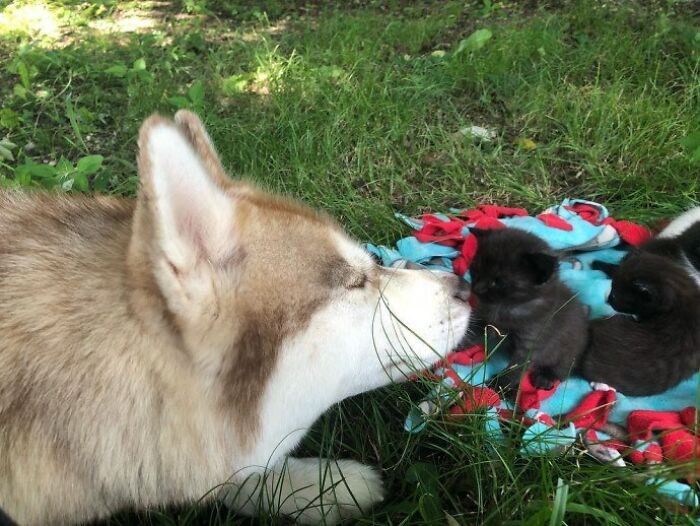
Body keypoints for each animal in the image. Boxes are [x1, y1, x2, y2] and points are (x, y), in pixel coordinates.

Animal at [468, 230, 588, 392]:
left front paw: (500, 385)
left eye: (498, 281)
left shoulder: (531, 343)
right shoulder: (484, 321)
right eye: (475, 268)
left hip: (568, 351)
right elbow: (470, 334)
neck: (506, 307)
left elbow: (516, 368)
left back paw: (545, 377)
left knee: (563, 369)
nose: (476, 289)